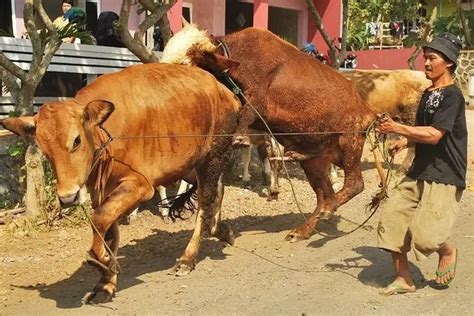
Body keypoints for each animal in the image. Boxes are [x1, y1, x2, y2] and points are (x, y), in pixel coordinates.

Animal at [0, 62, 241, 304]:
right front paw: (106, 282)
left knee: (205, 203)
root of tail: (225, 91)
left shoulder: (140, 186)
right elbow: (108, 231)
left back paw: (187, 258)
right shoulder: (104, 192)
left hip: (213, 156)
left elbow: (99, 218)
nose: (68, 197)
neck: (105, 134)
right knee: (218, 192)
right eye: (43, 149)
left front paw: (102, 261)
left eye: (76, 140)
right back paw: (221, 231)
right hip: (192, 166)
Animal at [161, 25, 376, 242]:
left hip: (350, 143)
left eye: (185, 64)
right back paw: (304, 229)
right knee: (325, 194)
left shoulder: (258, 104)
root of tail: (366, 109)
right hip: (314, 161)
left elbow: (247, 115)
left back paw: (326, 210)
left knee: (355, 185)